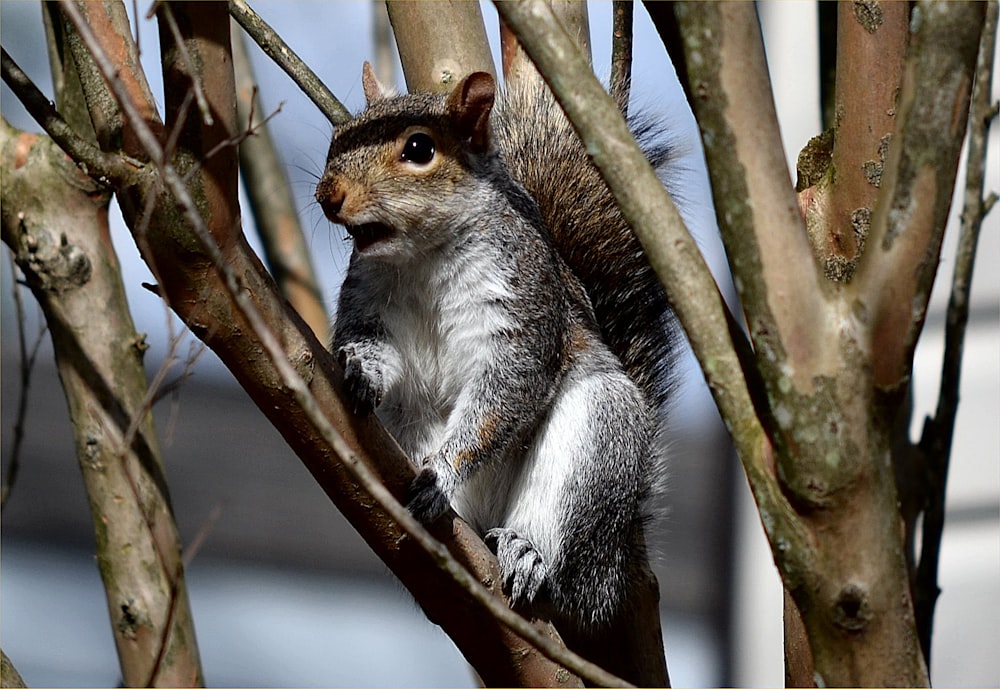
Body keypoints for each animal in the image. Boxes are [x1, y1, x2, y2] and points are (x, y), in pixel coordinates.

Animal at [318, 61, 680, 632]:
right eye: (337, 139)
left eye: (419, 148)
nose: (328, 196)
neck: (421, 258)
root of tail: (612, 569)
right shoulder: (367, 301)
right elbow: (374, 348)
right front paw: (358, 367)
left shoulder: (521, 307)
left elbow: (501, 397)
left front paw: (441, 475)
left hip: (599, 436)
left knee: (564, 557)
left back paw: (528, 554)